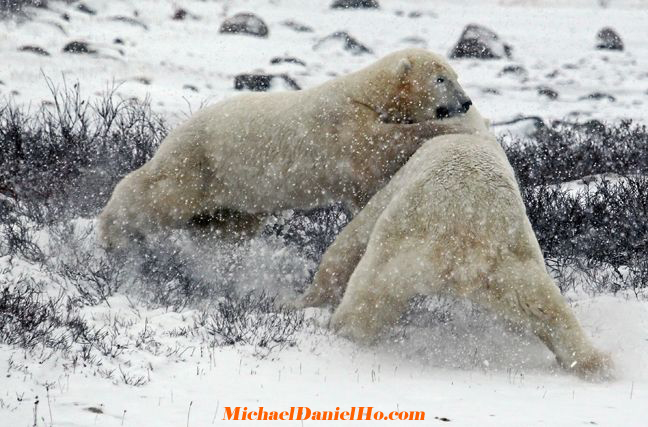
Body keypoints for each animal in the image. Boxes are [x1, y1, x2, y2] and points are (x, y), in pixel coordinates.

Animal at [100, 49, 476, 251]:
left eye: (457, 76)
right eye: (441, 79)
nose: (466, 102)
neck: (367, 93)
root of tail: (177, 129)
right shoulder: (341, 123)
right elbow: (375, 148)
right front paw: (454, 128)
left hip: (236, 195)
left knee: (225, 228)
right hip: (198, 162)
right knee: (156, 194)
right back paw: (111, 233)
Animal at [302, 125, 612, 380]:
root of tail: (464, 245)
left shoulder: (398, 183)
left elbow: (354, 235)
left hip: (400, 246)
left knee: (364, 299)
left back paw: (334, 326)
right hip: (514, 262)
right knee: (548, 307)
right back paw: (595, 363)